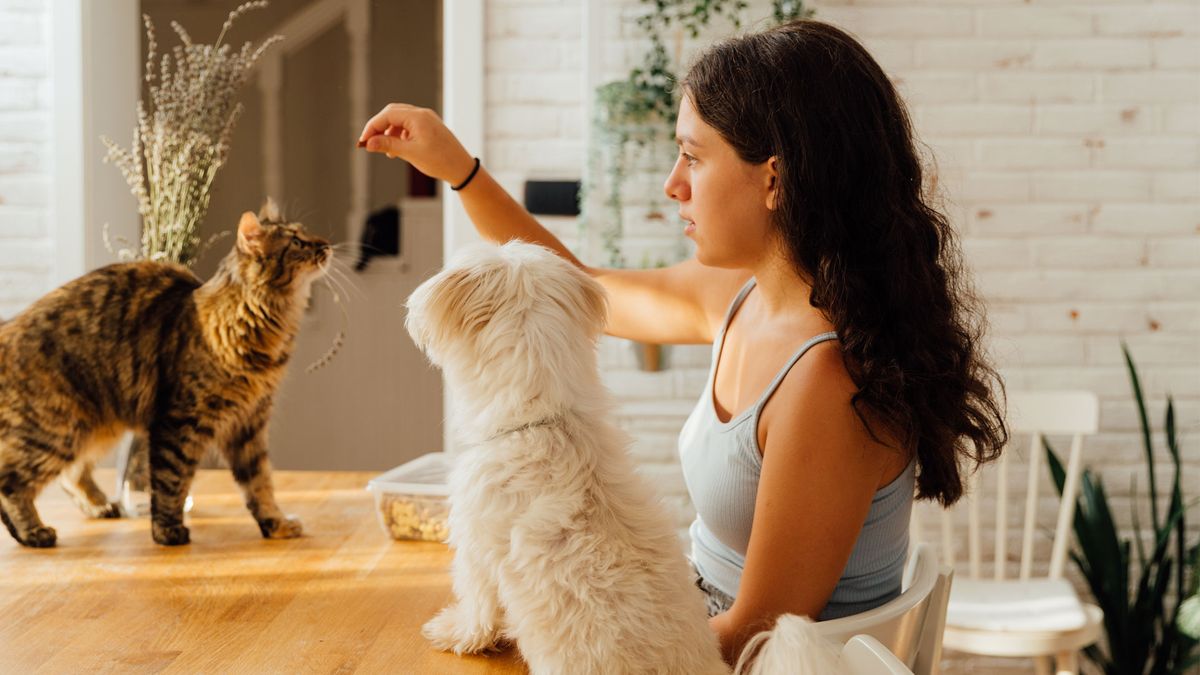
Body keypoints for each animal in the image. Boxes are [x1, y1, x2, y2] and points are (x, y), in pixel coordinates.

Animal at [0, 196, 328, 542]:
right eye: (297, 242)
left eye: (306, 233)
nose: (326, 244)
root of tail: (8, 327)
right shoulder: (180, 421)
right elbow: (172, 480)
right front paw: (168, 530)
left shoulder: (249, 424)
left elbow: (260, 483)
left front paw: (275, 524)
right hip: (56, 430)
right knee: (10, 482)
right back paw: (33, 532)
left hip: (95, 427)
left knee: (71, 474)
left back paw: (100, 506)